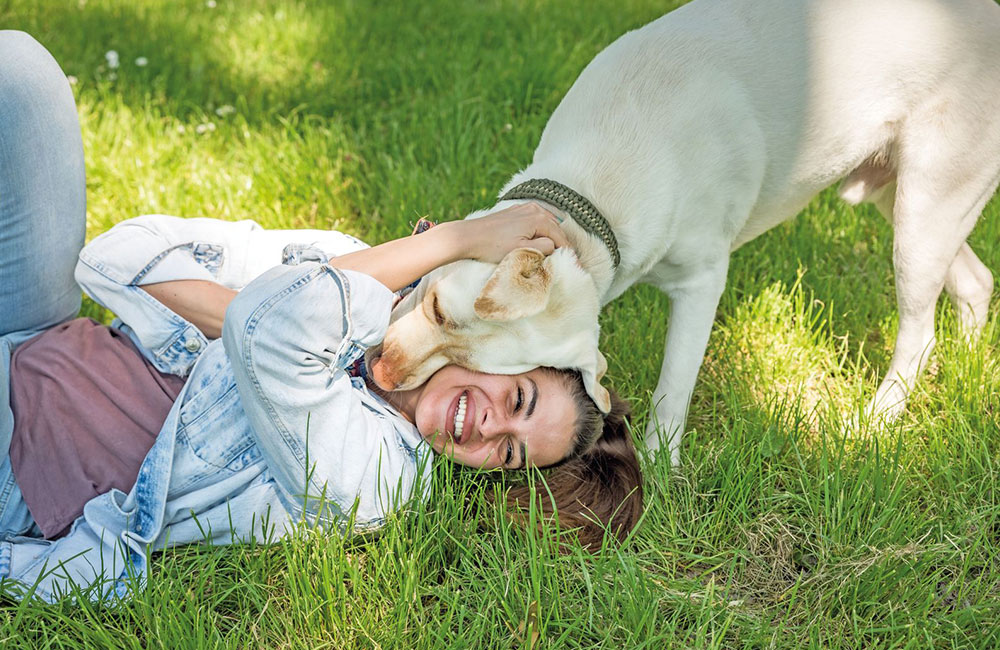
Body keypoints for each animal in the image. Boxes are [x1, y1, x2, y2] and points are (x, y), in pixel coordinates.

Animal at [368, 0, 1000, 460]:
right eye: (438, 310)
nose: (382, 372)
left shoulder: (701, 284)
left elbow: (675, 383)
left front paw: (660, 464)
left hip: (924, 213)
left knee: (919, 333)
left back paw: (876, 419)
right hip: (906, 201)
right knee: (975, 280)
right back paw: (970, 372)